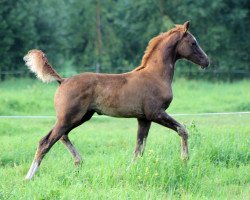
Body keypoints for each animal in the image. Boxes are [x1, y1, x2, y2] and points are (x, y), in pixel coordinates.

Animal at [23, 21, 209, 180]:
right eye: (193, 42)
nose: (206, 61)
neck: (156, 75)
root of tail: (63, 80)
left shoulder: (144, 118)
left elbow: (139, 148)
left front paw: (129, 171)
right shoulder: (156, 113)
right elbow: (183, 130)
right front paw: (184, 160)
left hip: (81, 117)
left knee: (62, 136)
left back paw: (78, 162)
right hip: (69, 117)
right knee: (46, 141)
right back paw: (29, 177)